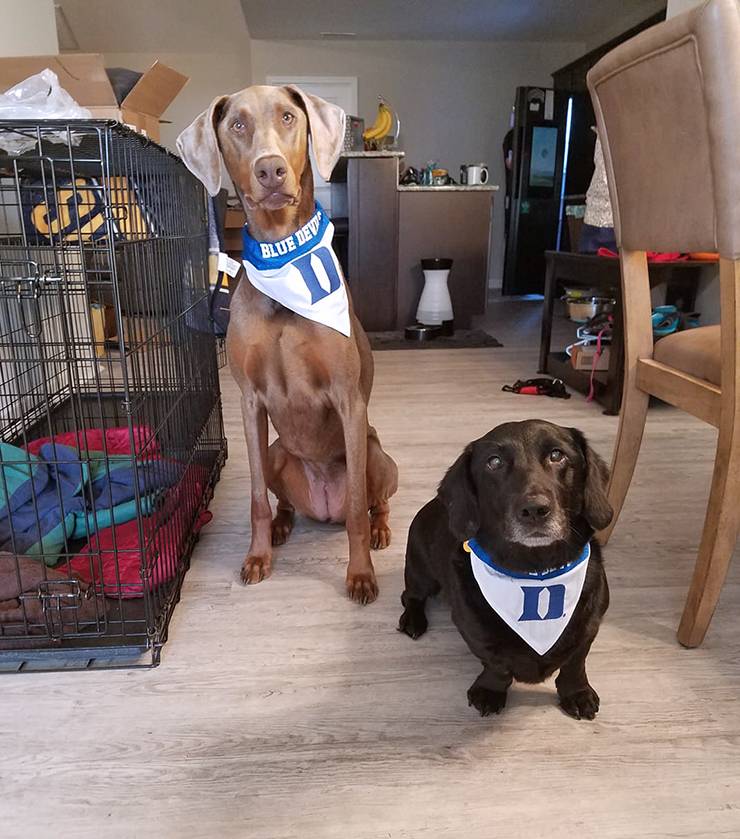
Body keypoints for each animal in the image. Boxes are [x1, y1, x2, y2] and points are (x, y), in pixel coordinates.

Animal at [176, 87, 396, 604]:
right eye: (236, 125)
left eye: (289, 117)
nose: (270, 169)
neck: (284, 257)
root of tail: (323, 508)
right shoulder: (249, 402)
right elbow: (256, 496)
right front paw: (257, 556)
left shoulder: (348, 399)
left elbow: (357, 510)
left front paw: (361, 575)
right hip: (278, 453)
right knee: (284, 501)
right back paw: (281, 525)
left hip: (377, 455)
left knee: (370, 503)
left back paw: (379, 531)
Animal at [398, 424, 612, 720]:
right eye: (494, 462)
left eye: (557, 455)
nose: (534, 510)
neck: (536, 570)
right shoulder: (476, 633)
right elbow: (496, 666)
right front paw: (490, 691)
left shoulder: (589, 627)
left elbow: (575, 664)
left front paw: (576, 693)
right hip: (421, 570)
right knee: (411, 596)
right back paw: (413, 620)